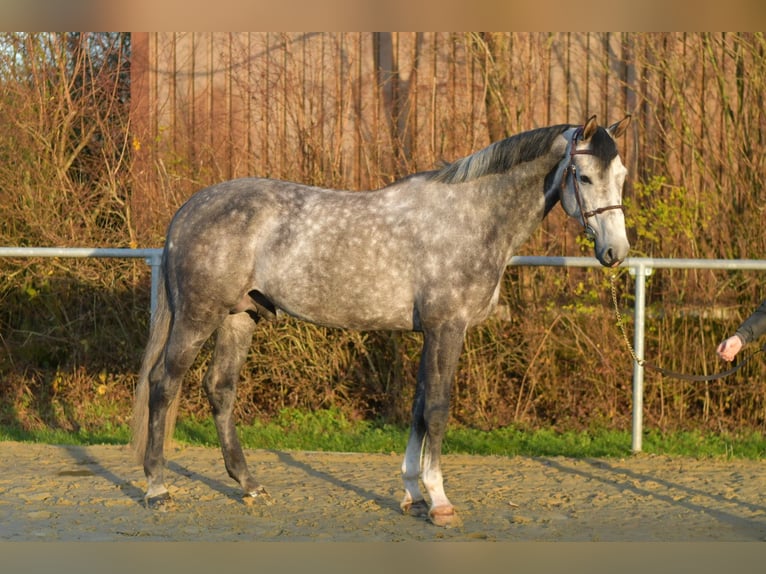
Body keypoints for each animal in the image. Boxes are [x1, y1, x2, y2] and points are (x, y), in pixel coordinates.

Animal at [132, 114, 632, 527]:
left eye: (622, 176)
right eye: (584, 176)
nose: (616, 252)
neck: (469, 218)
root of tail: (189, 209)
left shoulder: (430, 333)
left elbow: (418, 407)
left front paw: (413, 494)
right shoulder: (447, 329)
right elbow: (437, 409)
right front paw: (440, 502)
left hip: (241, 316)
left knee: (220, 388)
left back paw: (248, 483)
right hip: (198, 316)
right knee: (164, 384)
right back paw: (157, 487)